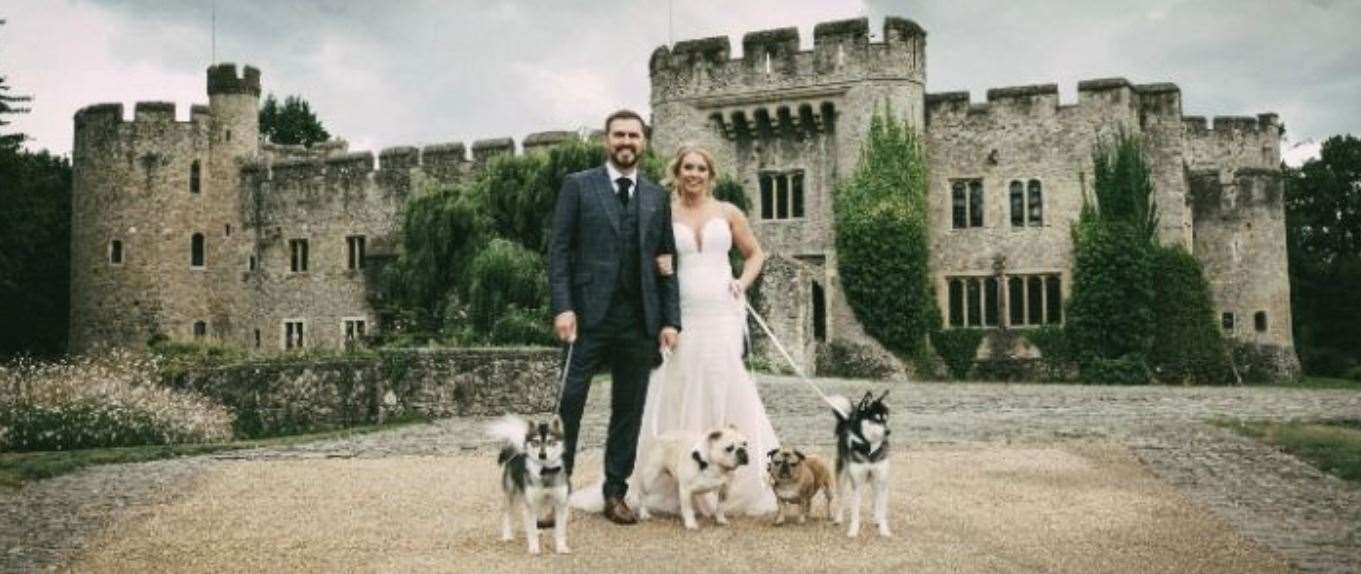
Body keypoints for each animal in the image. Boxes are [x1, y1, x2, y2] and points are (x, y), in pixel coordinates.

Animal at [484, 413, 568, 554]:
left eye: (550, 441)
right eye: (536, 442)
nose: (542, 455)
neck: (545, 471)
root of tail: (517, 454)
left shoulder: (560, 504)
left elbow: (560, 531)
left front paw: (561, 547)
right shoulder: (530, 503)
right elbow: (531, 529)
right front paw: (534, 548)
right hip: (512, 496)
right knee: (507, 514)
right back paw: (507, 536)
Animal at [827, 389, 892, 538]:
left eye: (886, 420)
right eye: (876, 419)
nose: (888, 431)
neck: (870, 449)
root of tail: (847, 421)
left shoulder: (881, 479)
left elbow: (882, 509)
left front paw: (884, 529)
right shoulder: (857, 482)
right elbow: (855, 511)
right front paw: (853, 530)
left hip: (875, 480)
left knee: (875, 499)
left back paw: (876, 519)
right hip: (842, 476)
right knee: (841, 498)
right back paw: (838, 518)